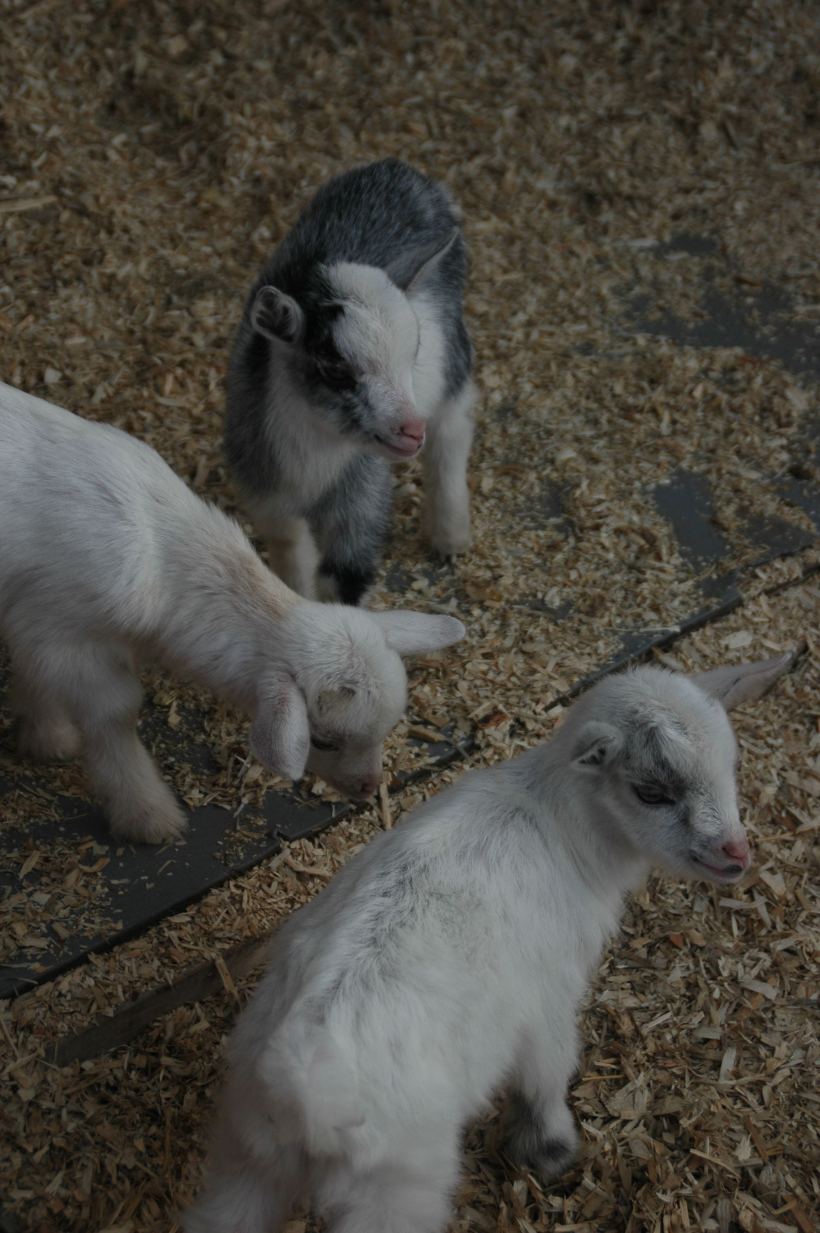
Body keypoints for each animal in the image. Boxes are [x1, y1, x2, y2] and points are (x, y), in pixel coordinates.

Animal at [0, 382, 465, 844]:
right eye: (322, 741)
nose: (368, 788)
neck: (164, 557)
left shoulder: (31, 620)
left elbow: (34, 673)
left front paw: (44, 733)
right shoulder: (62, 633)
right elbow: (113, 714)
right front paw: (147, 814)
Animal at [183, 649, 798, 1233]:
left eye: (730, 765)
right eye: (651, 792)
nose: (735, 854)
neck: (561, 824)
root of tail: (298, 1089)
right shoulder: (549, 996)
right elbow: (547, 1072)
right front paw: (549, 1150)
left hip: (247, 1158)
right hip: (395, 1185)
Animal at [225, 157, 476, 605]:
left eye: (413, 352)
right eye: (335, 367)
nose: (411, 431)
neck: (312, 468)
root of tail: (400, 169)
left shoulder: (362, 496)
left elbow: (345, 577)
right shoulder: (268, 498)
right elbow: (291, 563)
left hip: (454, 356)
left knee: (452, 432)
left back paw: (450, 537)